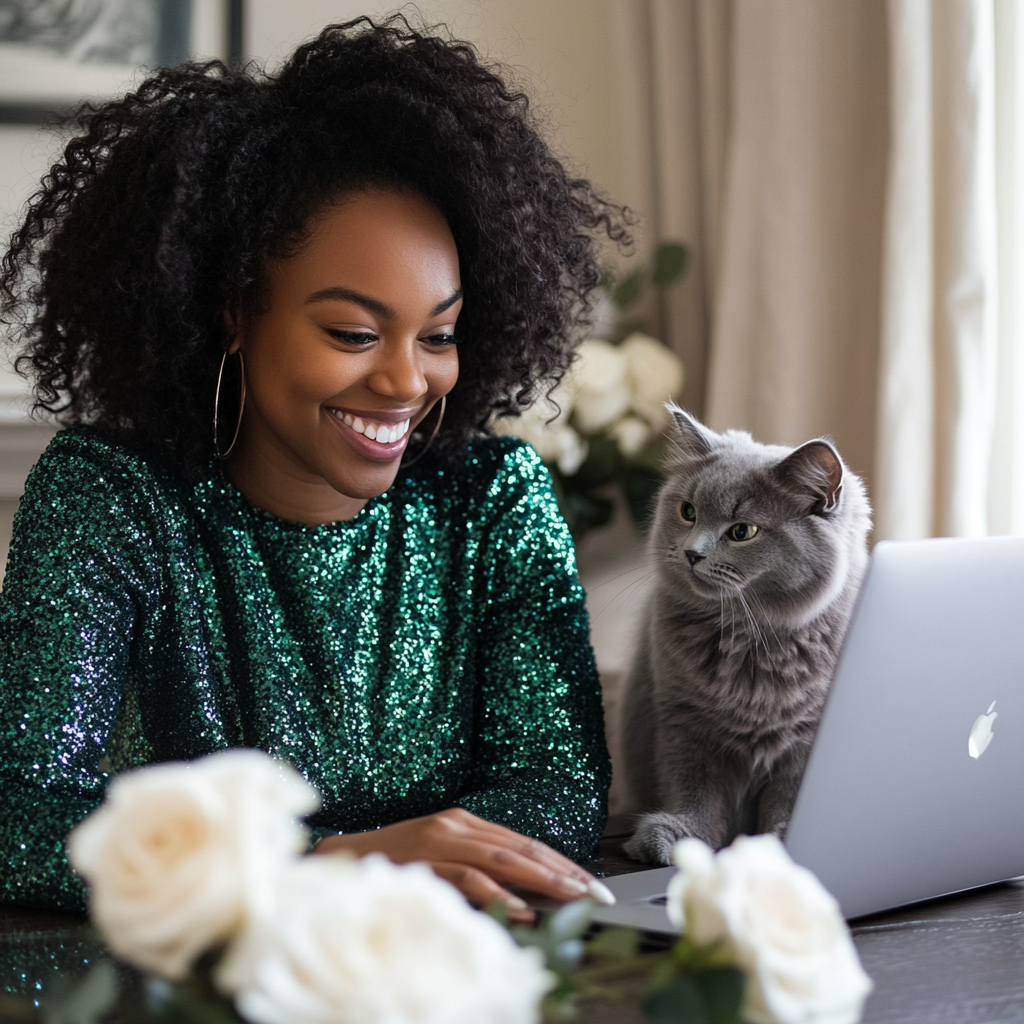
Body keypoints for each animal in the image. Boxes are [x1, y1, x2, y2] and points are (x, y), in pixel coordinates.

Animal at [618, 407, 868, 864]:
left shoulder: (805, 740)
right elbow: (695, 792)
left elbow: (789, 798)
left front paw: (784, 842)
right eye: (688, 511)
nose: (691, 553)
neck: (751, 639)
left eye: (742, 532)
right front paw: (676, 839)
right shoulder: (683, 720)